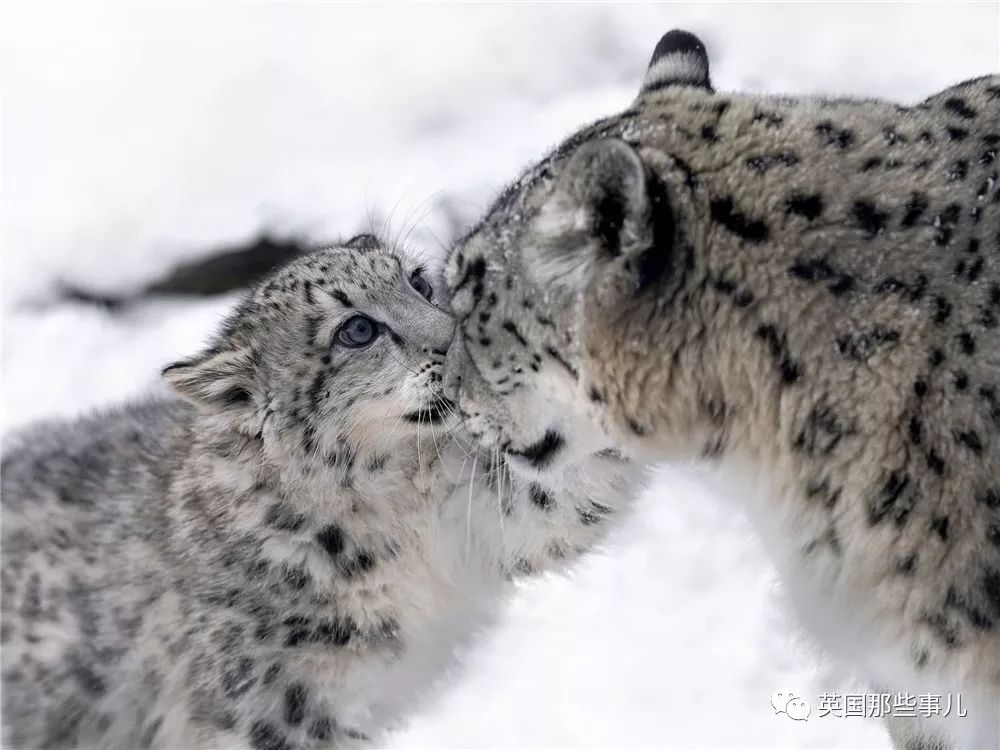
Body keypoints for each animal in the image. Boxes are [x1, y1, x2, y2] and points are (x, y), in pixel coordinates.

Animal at [0, 236, 640, 750]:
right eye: (357, 329)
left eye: (417, 281)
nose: (457, 341)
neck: (400, 506)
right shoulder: (283, 705)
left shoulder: (486, 515)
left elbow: (567, 495)